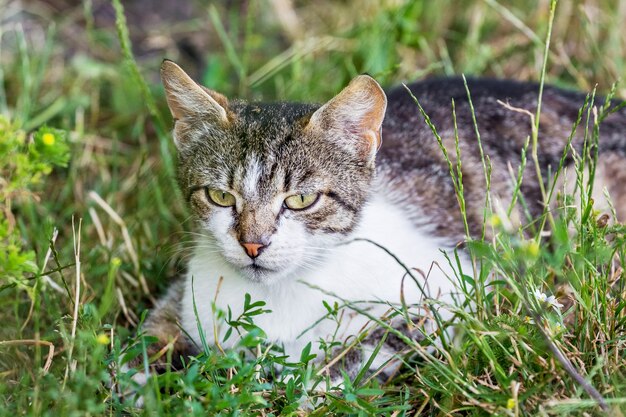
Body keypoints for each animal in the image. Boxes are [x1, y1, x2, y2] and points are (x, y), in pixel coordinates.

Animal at [127, 59, 624, 384]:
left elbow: (363, 348)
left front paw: (301, 381)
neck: (280, 294)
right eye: (220, 196)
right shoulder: (189, 289)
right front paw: (139, 370)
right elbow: (150, 332)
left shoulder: (457, 293)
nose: (253, 244)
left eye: (301, 199)